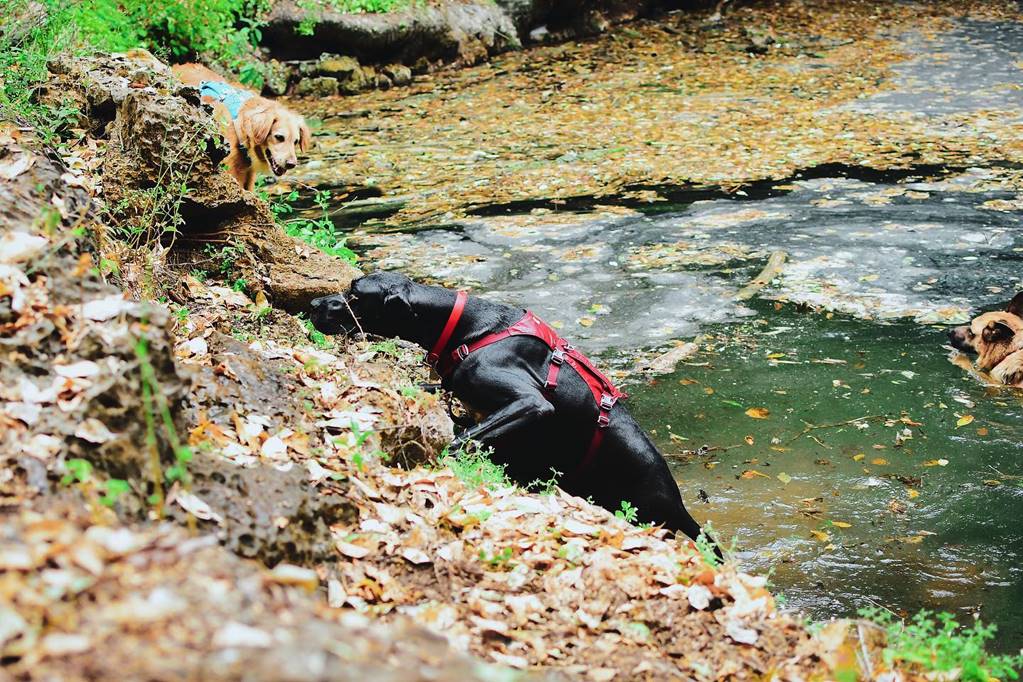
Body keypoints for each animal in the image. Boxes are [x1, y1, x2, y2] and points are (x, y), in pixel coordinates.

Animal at [310, 271, 712, 543]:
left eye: (355, 296)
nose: (314, 305)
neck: (468, 328)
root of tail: (676, 501)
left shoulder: (531, 404)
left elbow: (462, 440)